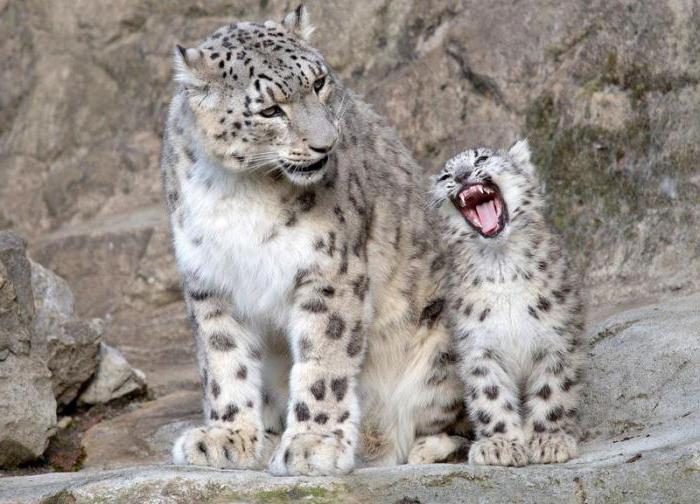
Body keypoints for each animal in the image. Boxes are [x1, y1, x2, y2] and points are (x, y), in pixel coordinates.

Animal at [159, 4, 468, 476]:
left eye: (319, 82)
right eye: (270, 110)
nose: (326, 144)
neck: (239, 189)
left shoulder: (329, 270)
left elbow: (323, 361)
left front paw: (312, 444)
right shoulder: (209, 280)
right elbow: (224, 361)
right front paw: (226, 437)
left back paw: (428, 449)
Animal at [432, 140, 584, 466]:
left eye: (481, 158)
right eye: (445, 176)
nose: (462, 176)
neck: (501, 265)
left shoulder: (557, 337)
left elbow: (553, 389)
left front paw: (549, 441)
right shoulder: (478, 346)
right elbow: (490, 395)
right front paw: (499, 445)